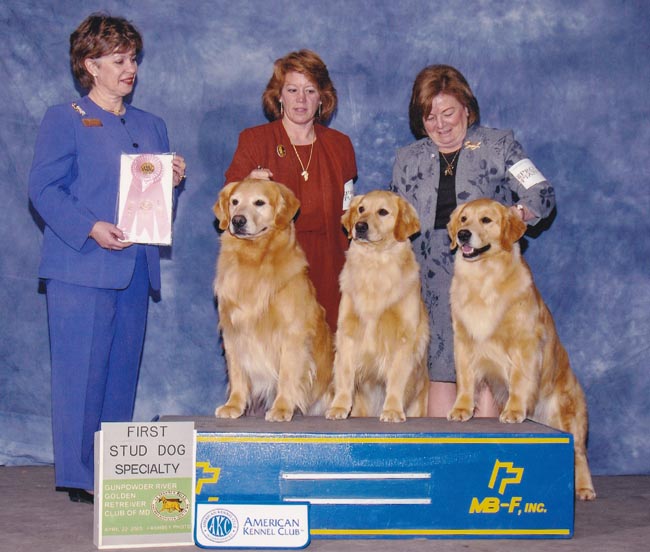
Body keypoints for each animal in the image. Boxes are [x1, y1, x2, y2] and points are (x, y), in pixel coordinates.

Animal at [212, 178, 333, 422]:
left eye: (259, 202)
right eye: (234, 202)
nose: (237, 220)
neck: (253, 259)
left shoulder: (292, 334)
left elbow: (288, 375)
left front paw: (282, 408)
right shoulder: (233, 332)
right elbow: (237, 373)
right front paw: (234, 405)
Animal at [326, 191, 429, 422]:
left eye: (383, 212)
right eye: (361, 209)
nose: (360, 226)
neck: (375, 265)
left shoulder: (403, 336)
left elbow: (397, 377)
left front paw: (392, 410)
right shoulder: (348, 331)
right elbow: (345, 373)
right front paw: (339, 406)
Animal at [446, 198, 595, 500]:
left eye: (486, 220)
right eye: (464, 219)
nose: (463, 235)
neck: (483, 279)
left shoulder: (524, 344)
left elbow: (519, 381)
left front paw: (514, 412)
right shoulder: (463, 342)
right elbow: (465, 382)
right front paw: (461, 409)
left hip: (568, 416)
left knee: (579, 453)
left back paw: (585, 489)